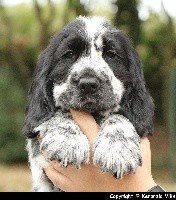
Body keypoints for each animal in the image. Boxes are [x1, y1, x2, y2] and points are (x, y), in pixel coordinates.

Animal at [22, 16, 153, 192]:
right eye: (69, 54)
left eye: (111, 54)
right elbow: (61, 110)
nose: (88, 83)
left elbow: (118, 116)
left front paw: (118, 150)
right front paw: (67, 141)